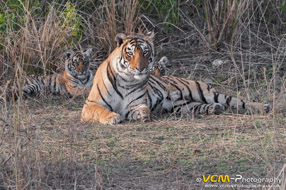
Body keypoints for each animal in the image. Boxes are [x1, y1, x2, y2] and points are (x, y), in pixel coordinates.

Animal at [81, 32, 270, 124]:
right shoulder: (90, 104)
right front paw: (112, 117)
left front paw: (142, 115)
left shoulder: (135, 103)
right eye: (130, 53)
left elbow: (143, 109)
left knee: (237, 101)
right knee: (201, 106)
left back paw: (264, 107)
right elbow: (101, 110)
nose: (141, 68)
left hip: (205, 92)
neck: (127, 79)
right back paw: (215, 109)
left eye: (145, 52)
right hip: (181, 105)